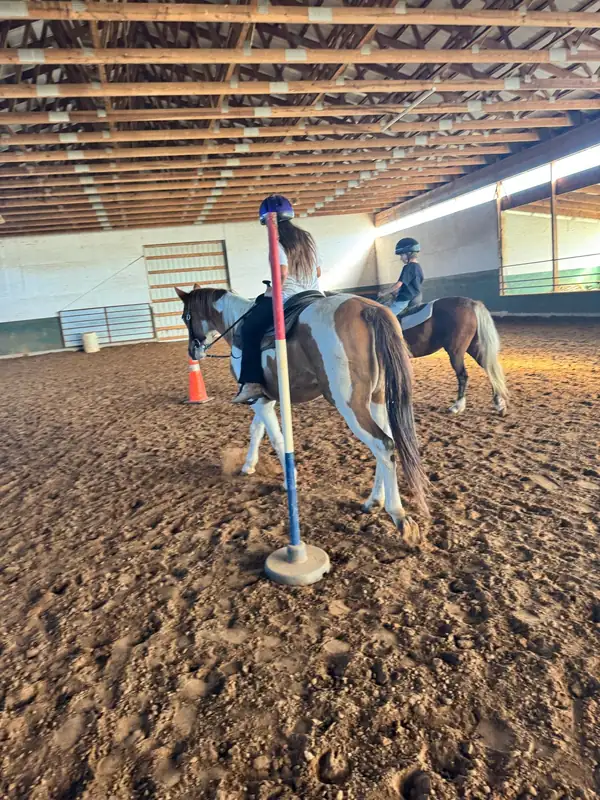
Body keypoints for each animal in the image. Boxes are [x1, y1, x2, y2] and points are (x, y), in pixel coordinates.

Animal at [176, 286, 429, 537]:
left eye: (185, 316)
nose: (192, 351)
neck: (238, 323)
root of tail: (368, 309)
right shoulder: (264, 398)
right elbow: (256, 430)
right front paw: (248, 466)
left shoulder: (259, 400)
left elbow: (276, 438)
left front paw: (289, 480)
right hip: (377, 399)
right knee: (386, 445)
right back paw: (373, 501)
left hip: (350, 404)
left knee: (383, 445)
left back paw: (398, 516)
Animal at [379, 295, 508, 415]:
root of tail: (471, 303)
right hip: (474, 347)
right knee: (490, 370)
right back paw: (499, 404)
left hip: (456, 352)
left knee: (463, 376)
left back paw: (457, 406)